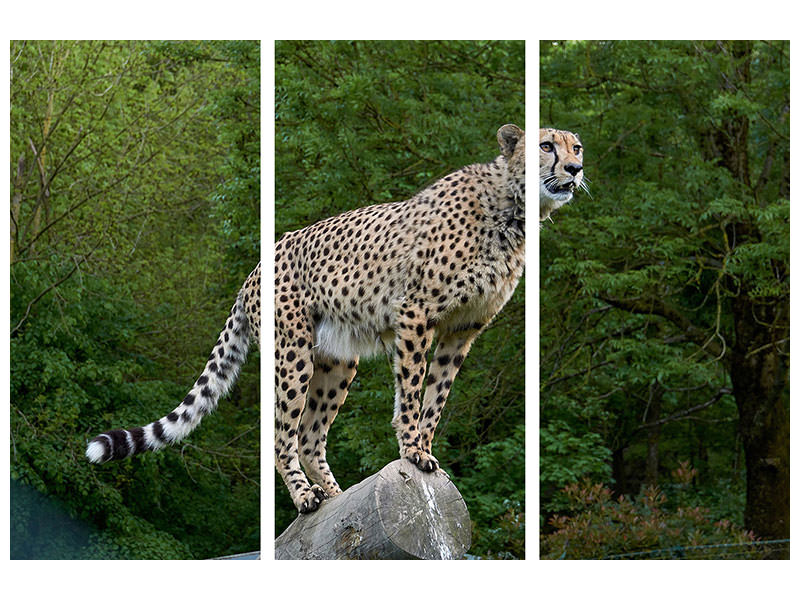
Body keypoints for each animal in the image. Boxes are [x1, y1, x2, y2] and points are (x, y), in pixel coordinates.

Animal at [275, 124, 526, 513]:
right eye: (547, 147)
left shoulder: (464, 327)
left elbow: (437, 391)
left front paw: (424, 447)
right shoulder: (414, 310)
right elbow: (412, 384)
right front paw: (412, 450)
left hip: (337, 361)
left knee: (309, 437)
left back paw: (337, 495)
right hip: (294, 352)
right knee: (282, 436)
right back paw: (305, 496)